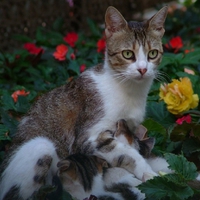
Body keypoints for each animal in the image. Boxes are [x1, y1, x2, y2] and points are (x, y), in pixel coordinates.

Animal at [0, 5, 169, 200]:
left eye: (152, 54)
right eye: (128, 54)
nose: (143, 69)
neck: (130, 90)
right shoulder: (88, 136)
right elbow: (126, 152)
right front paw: (148, 173)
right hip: (40, 146)